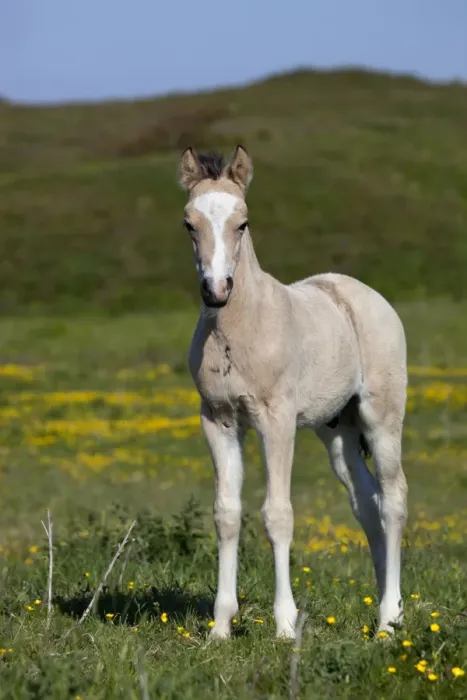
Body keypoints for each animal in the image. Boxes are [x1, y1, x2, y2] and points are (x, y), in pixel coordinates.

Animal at [178, 145, 408, 640]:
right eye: (189, 223)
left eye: (243, 222)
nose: (216, 290)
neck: (239, 330)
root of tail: (365, 294)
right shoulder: (218, 420)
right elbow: (226, 514)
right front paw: (220, 626)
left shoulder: (276, 420)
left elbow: (278, 514)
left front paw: (284, 624)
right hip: (337, 430)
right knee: (367, 505)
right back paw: (389, 608)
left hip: (382, 417)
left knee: (394, 500)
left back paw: (388, 620)